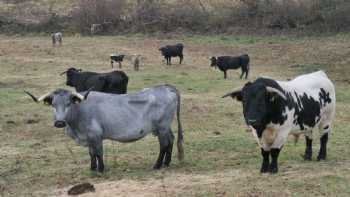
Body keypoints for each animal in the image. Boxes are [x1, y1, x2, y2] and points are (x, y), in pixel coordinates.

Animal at [25, 84, 185, 172]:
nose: (59, 122)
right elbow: (91, 154)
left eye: (68, 103)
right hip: (164, 128)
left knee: (164, 144)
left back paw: (157, 165)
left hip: (162, 126)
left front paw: (101, 169)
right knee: (171, 140)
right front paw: (92, 168)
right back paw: (166, 163)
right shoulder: (89, 138)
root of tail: (165, 87)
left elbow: (98, 153)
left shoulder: (96, 136)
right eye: (53, 104)